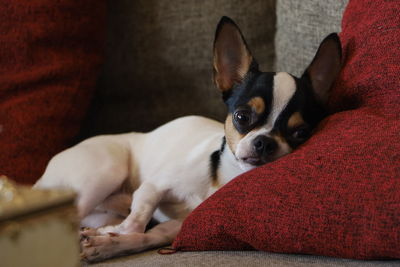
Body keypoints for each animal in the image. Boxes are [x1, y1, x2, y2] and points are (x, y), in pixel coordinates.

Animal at [33, 16, 340, 262]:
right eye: (242, 116)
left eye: (301, 133)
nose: (265, 142)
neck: (220, 180)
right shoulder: (153, 187)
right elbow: (137, 219)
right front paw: (112, 235)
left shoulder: (175, 226)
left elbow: (144, 235)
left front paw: (109, 243)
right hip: (103, 172)